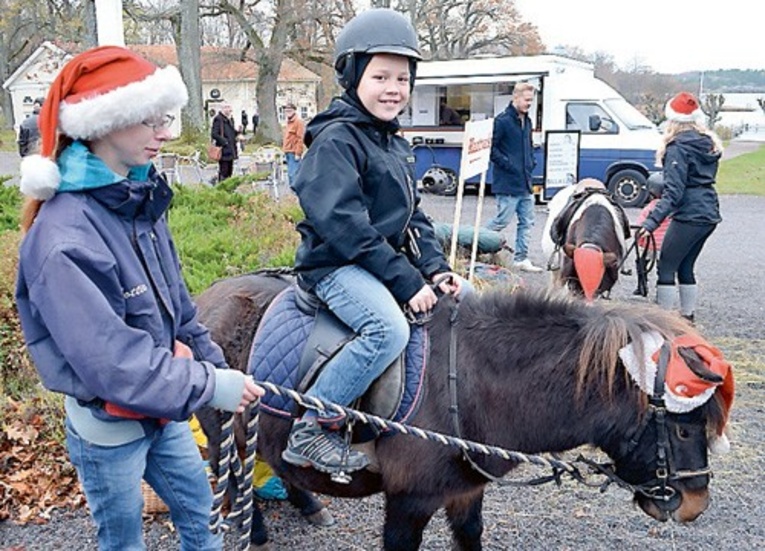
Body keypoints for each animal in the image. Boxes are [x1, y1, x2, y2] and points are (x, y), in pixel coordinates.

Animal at [194, 274, 724, 548]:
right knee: (231, 476)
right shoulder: (408, 502)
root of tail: (206, 296)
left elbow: (470, 537)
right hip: (221, 429)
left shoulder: (466, 493)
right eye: (683, 429)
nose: (696, 504)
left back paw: (307, 503)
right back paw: (256, 529)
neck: (469, 381)